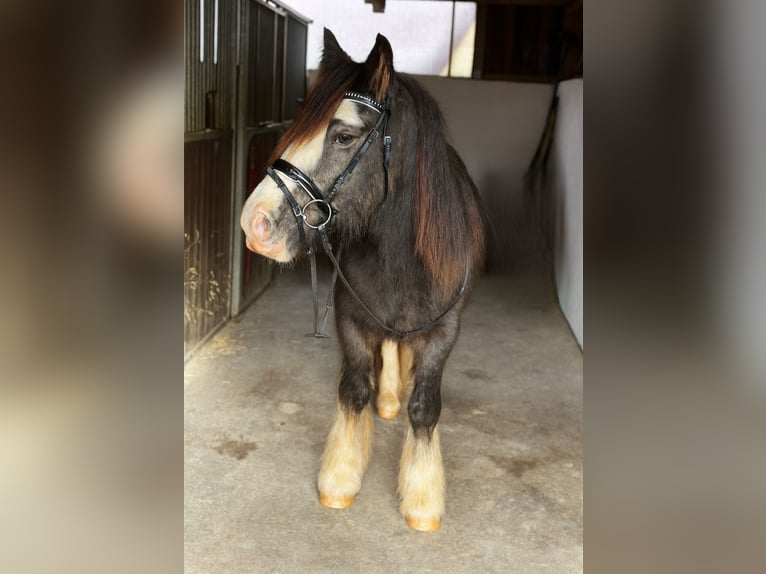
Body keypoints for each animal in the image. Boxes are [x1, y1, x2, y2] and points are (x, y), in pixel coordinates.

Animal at [240, 29, 486, 532]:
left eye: (344, 135)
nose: (254, 224)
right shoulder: (349, 317)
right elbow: (353, 389)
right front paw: (340, 477)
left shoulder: (445, 333)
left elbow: (425, 406)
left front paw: (422, 499)